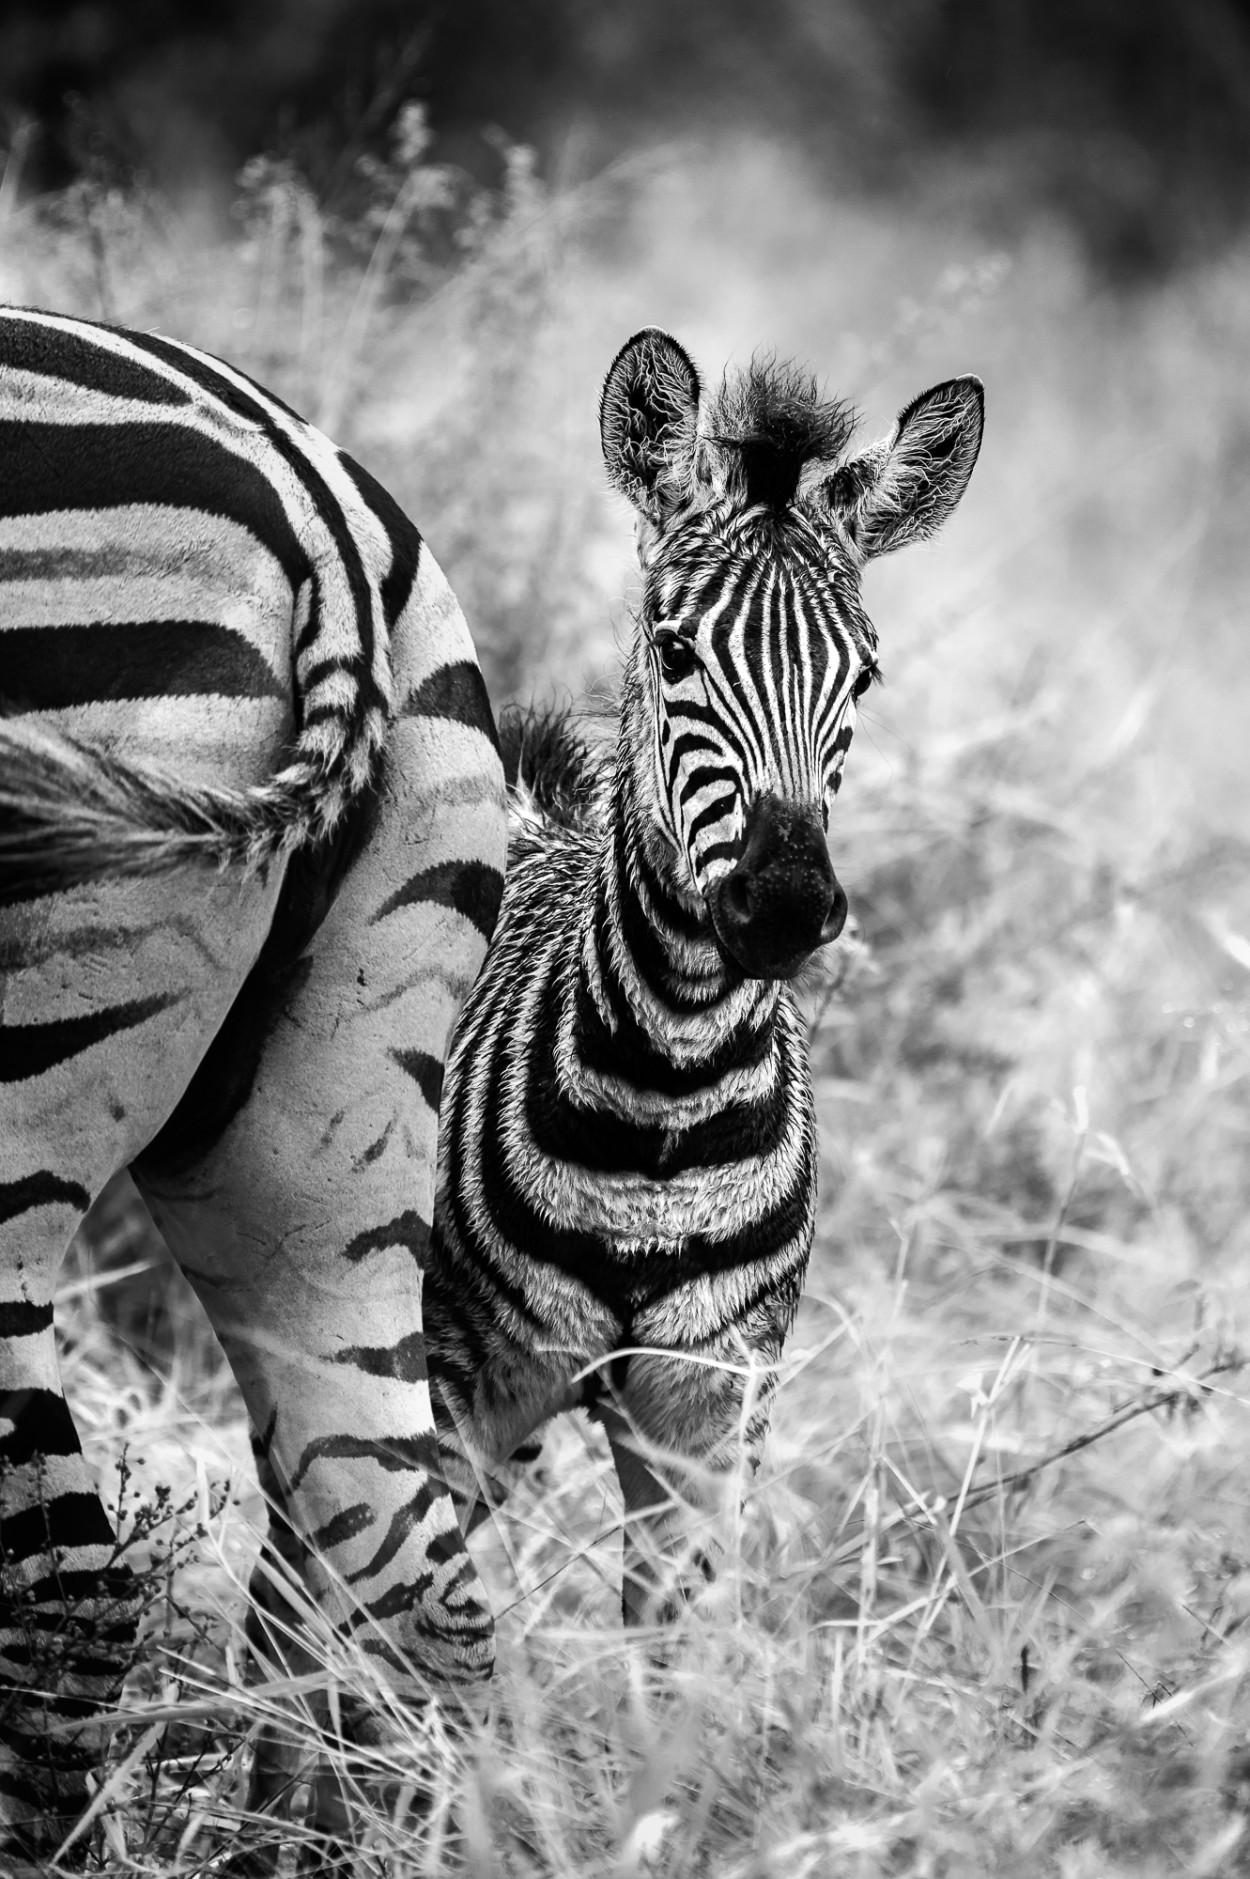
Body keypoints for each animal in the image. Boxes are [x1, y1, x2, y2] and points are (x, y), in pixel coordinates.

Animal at [428, 330, 984, 1623]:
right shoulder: (464, 1377)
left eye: (863, 677)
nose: (782, 907)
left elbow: (675, 1644)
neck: (667, 1088)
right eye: (675, 650)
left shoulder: (706, 1410)